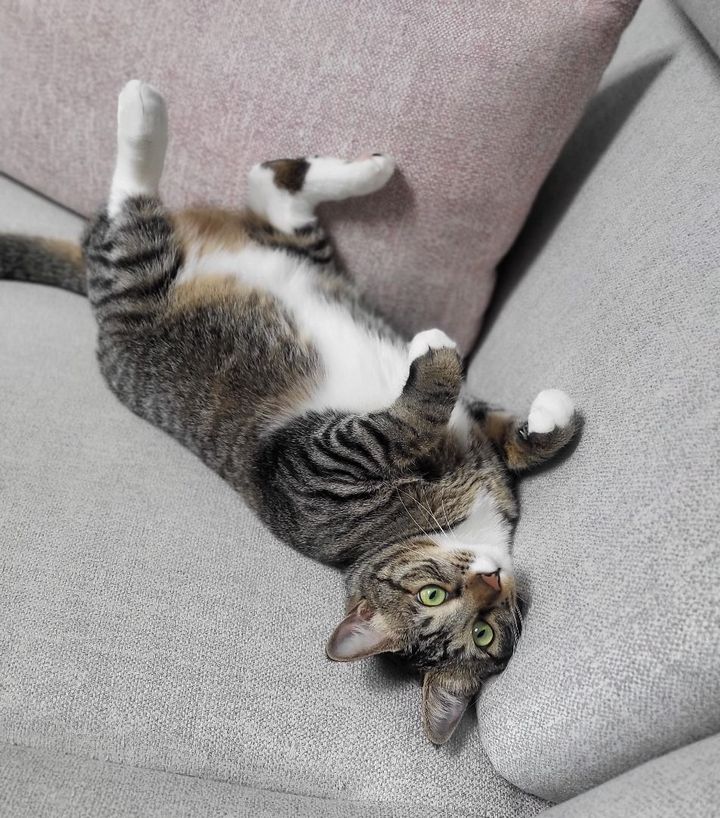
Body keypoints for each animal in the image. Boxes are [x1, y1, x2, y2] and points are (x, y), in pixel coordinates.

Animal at [0, 80, 579, 744]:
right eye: (433, 598)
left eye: (483, 633)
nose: (488, 581)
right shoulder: (323, 463)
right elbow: (411, 417)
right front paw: (438, 358)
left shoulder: (470, 438)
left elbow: (505, 436)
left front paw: (546, 420)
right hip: (139, 279)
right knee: (134, 208)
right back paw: (144, 111)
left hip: (296, 254)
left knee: (271, 190)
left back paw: (366, 168)